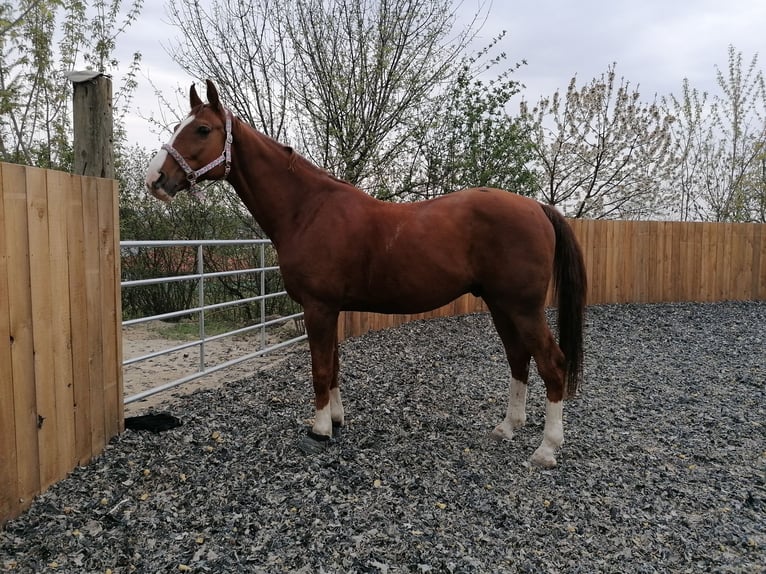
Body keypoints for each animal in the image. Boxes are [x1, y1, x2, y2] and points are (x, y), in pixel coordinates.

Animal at [145, 80, 587, 468]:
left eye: (202, 129)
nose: (155, 179)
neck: (308, 210)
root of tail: (539, 208)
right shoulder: (330, 309)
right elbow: (334, 365)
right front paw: (337, 421)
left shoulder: (318, 308)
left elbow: (321, 369)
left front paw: (319, 431)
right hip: (501, 305)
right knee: (518, 358)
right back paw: (507, 428)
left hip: (522, 307)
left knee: (552, 363)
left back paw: (546, 449)